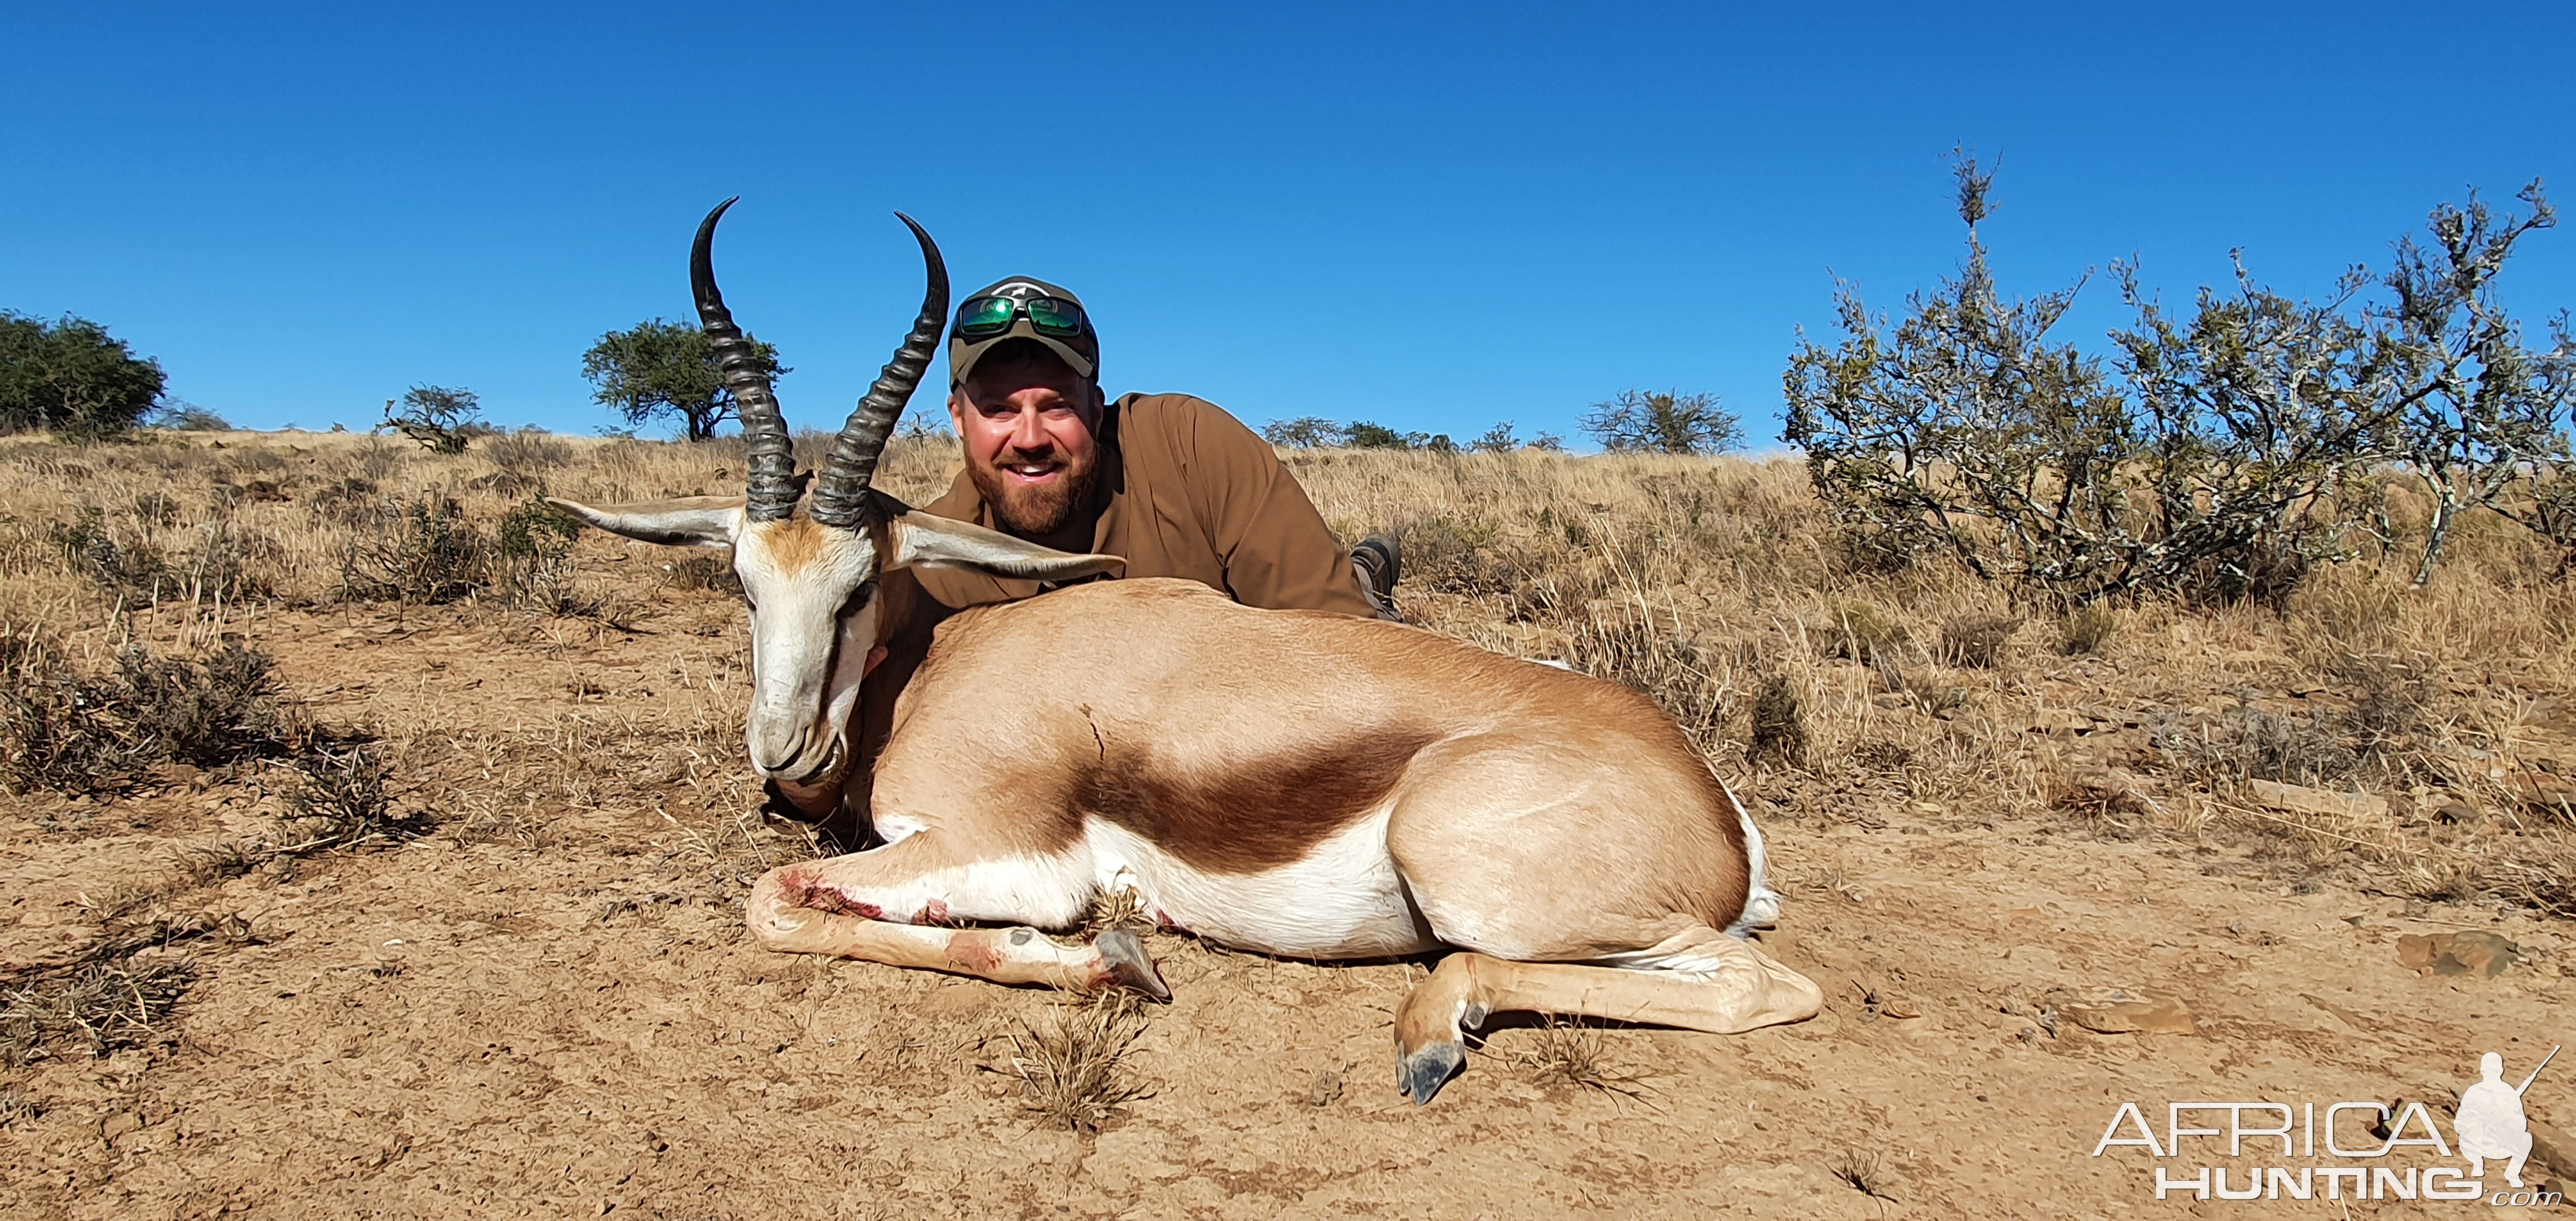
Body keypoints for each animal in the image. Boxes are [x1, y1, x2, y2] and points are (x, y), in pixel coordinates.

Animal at [551, 202, 1824, 1108]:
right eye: (742, 582)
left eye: (858, 583)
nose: (783, 750)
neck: (935, 667)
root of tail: (1713, 805)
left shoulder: (1009, 853)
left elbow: (774, 899)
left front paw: (1112, 958)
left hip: (1481, 880)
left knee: (1762, 984)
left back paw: (1428, 1035)